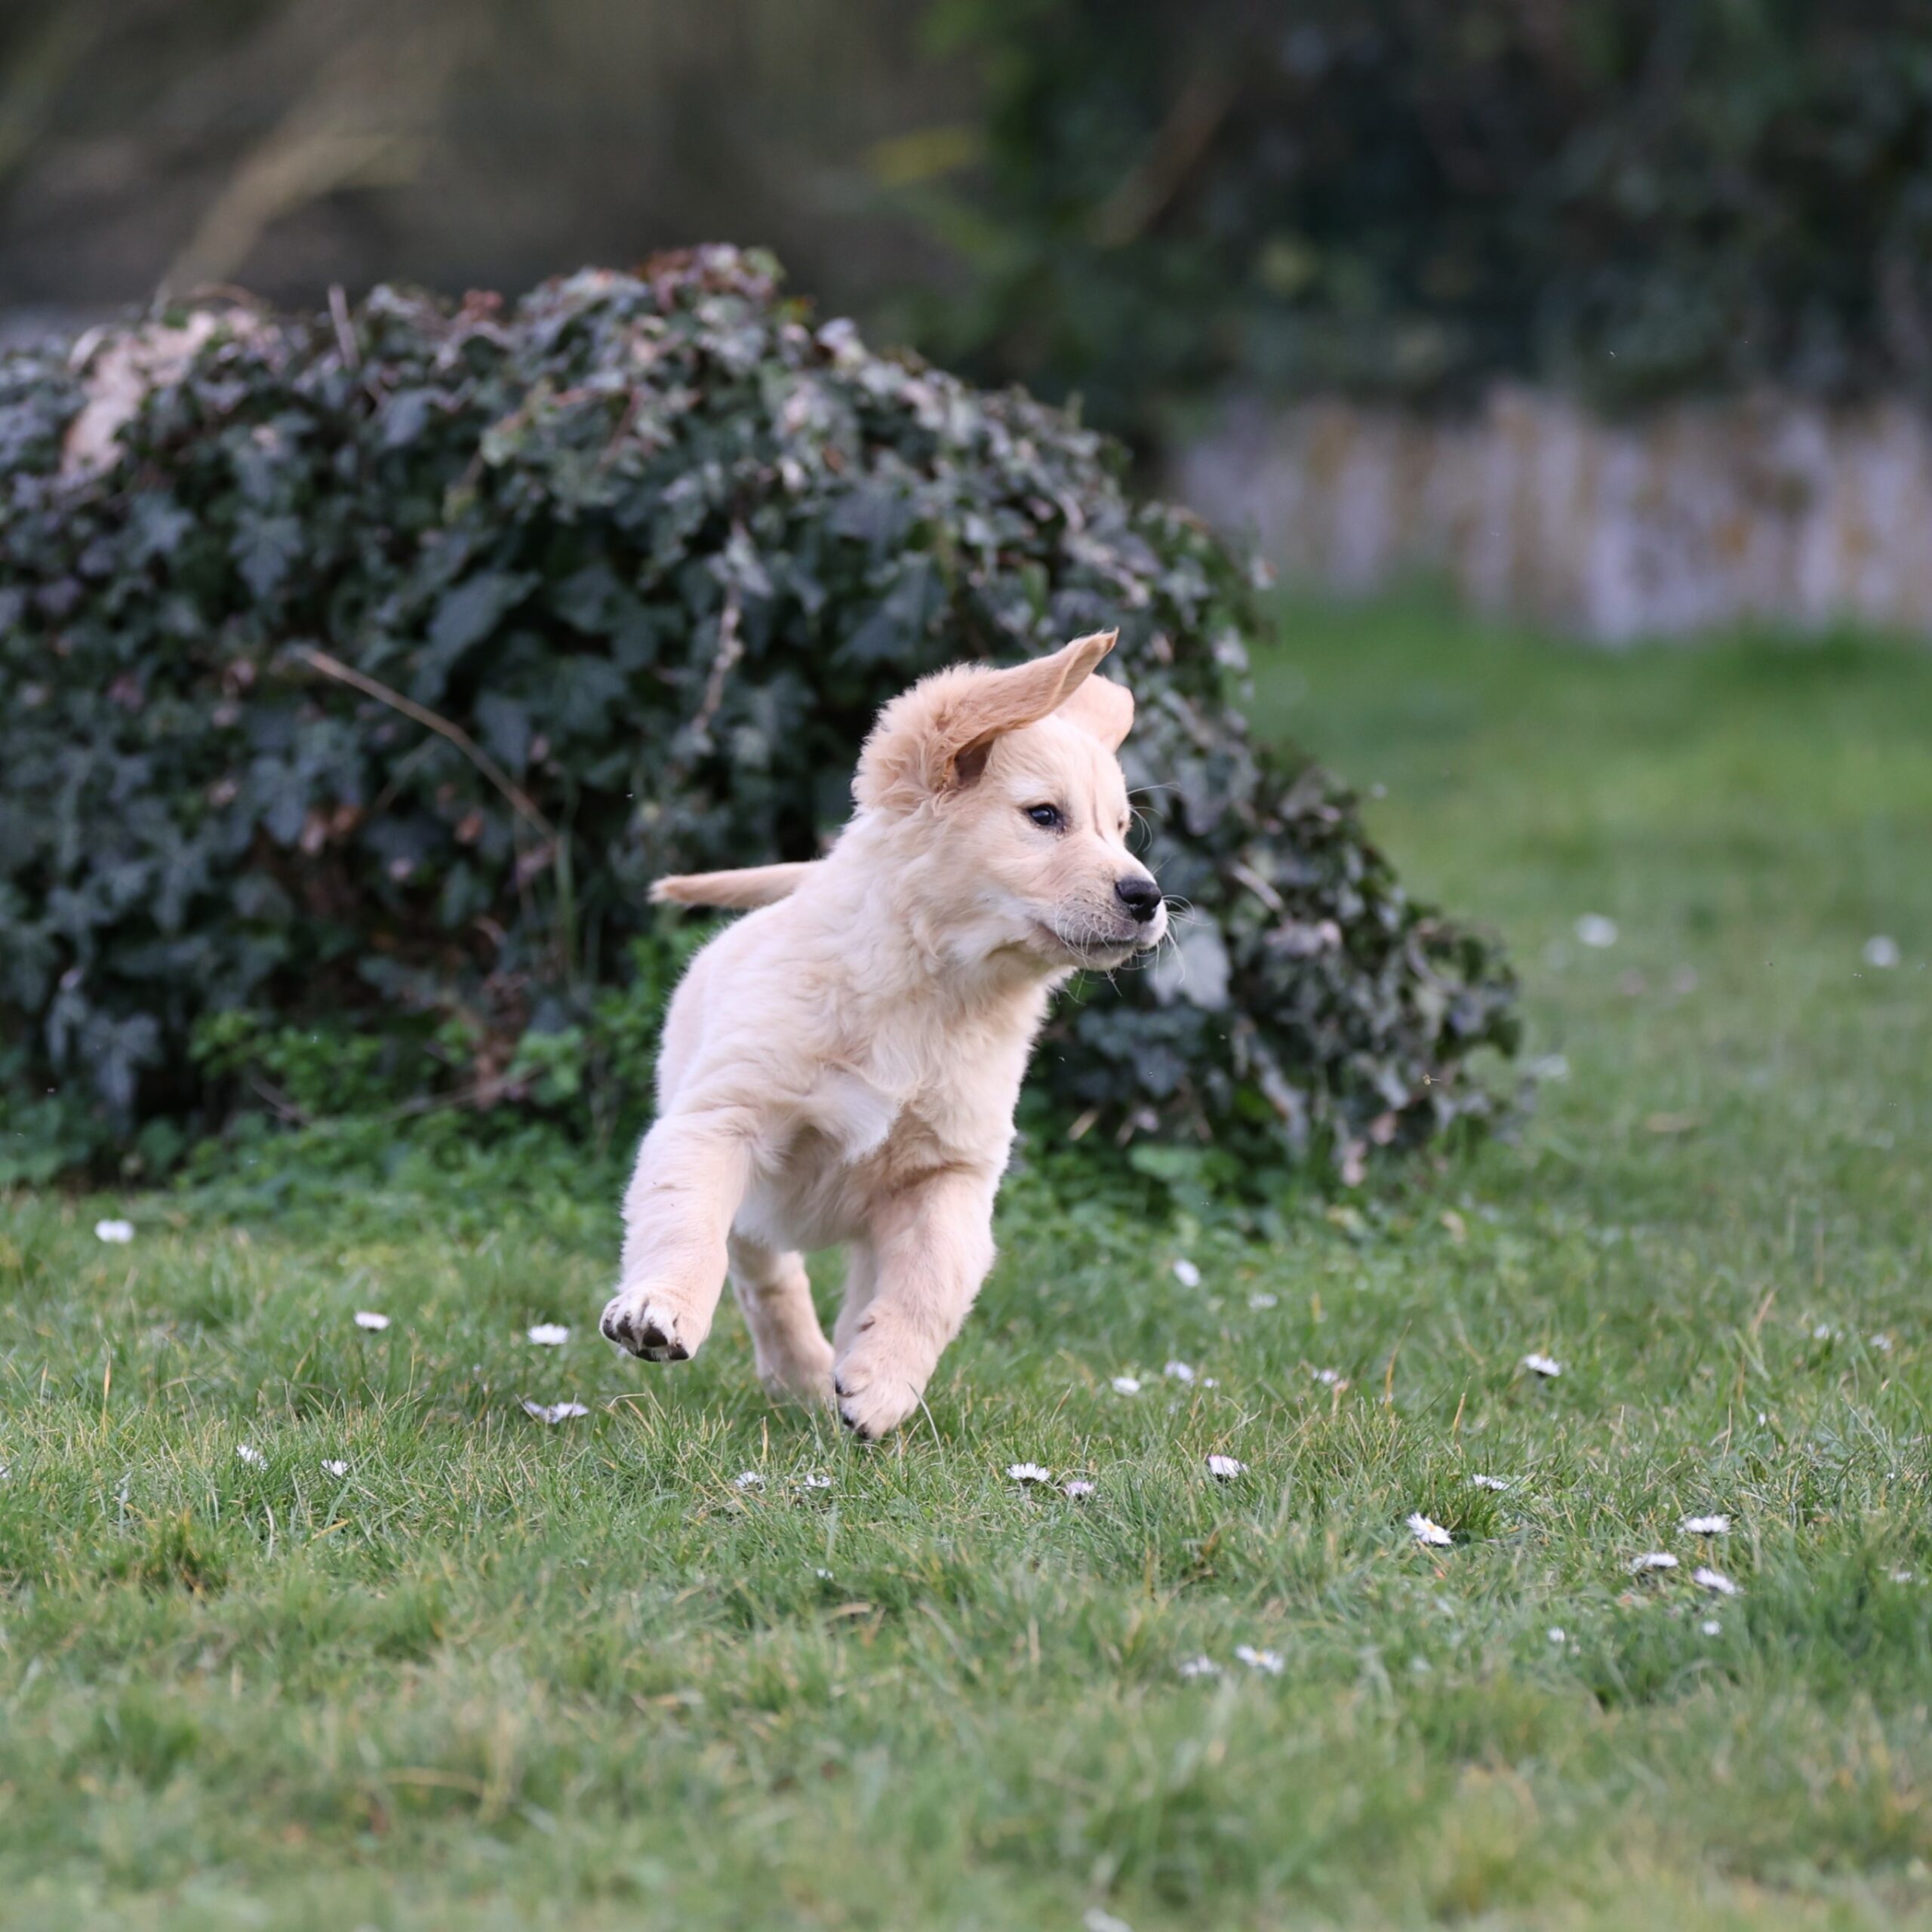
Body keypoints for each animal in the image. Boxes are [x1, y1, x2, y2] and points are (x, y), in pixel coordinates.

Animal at [598, 629, 1159, 1437]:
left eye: (1118, 830)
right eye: (1045, 816)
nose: (1149, 897)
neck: (934, 992)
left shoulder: (950, 1174)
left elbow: (930, 1283)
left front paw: (884, 1384)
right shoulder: (718, 1121)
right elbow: (687, 1225)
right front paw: (659, 1309)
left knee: (858, 1288)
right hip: (754, 1196)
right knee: (766, 1274)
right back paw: (798, 1370)